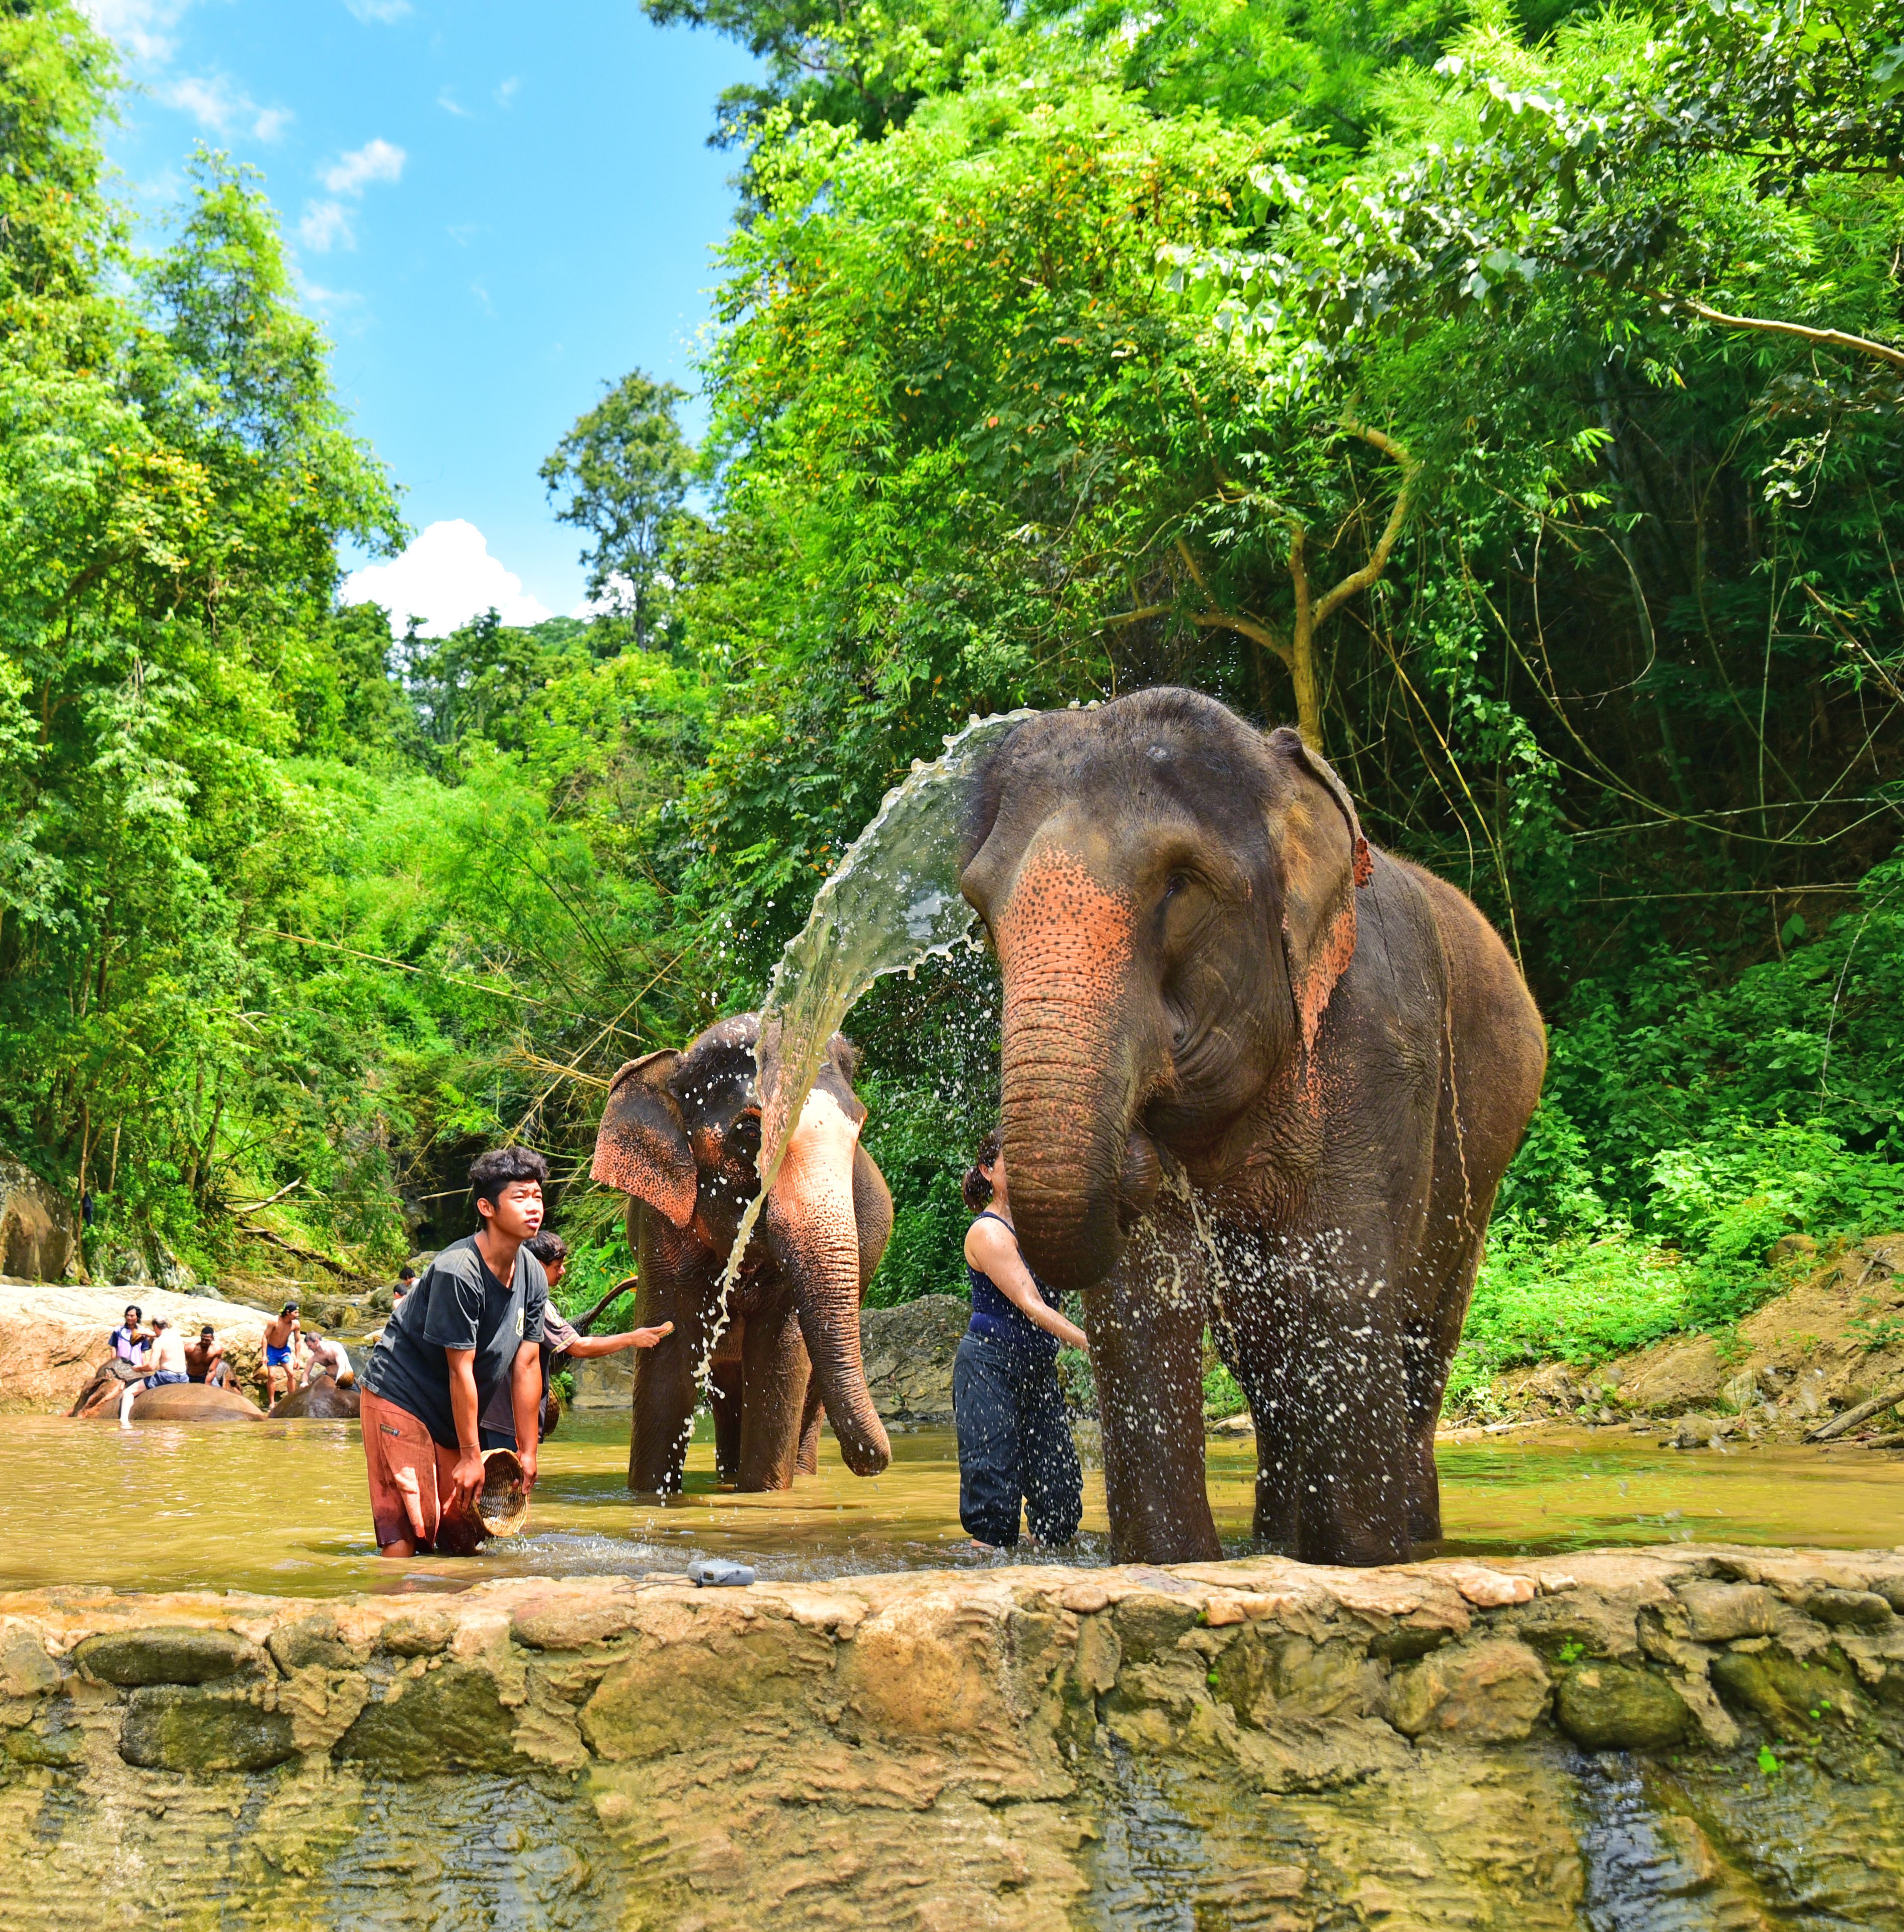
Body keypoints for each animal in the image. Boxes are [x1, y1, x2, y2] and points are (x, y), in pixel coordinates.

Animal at [590, 1013, 894, 1493]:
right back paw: (728, 1475)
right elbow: (669, 1359)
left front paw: (765, 1495)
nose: (871, 1461)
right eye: (751, 1132)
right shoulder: (661, 1229)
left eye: (859, 1129)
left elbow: (780, 1359)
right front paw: (649, 1495)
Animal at [960, 688, 1546, 1568]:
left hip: (1479, 1165)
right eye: (980, 908)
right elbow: (1146, 1304)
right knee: (1262, 1356)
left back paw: (1411, 1538)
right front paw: (1171, 1563)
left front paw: (1361, 1560)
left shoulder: (1381, 1045)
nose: (1134, 1148)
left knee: (1424, 1328)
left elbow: (1338, 1283)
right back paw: (1277, 1539)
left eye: (1180, 885)